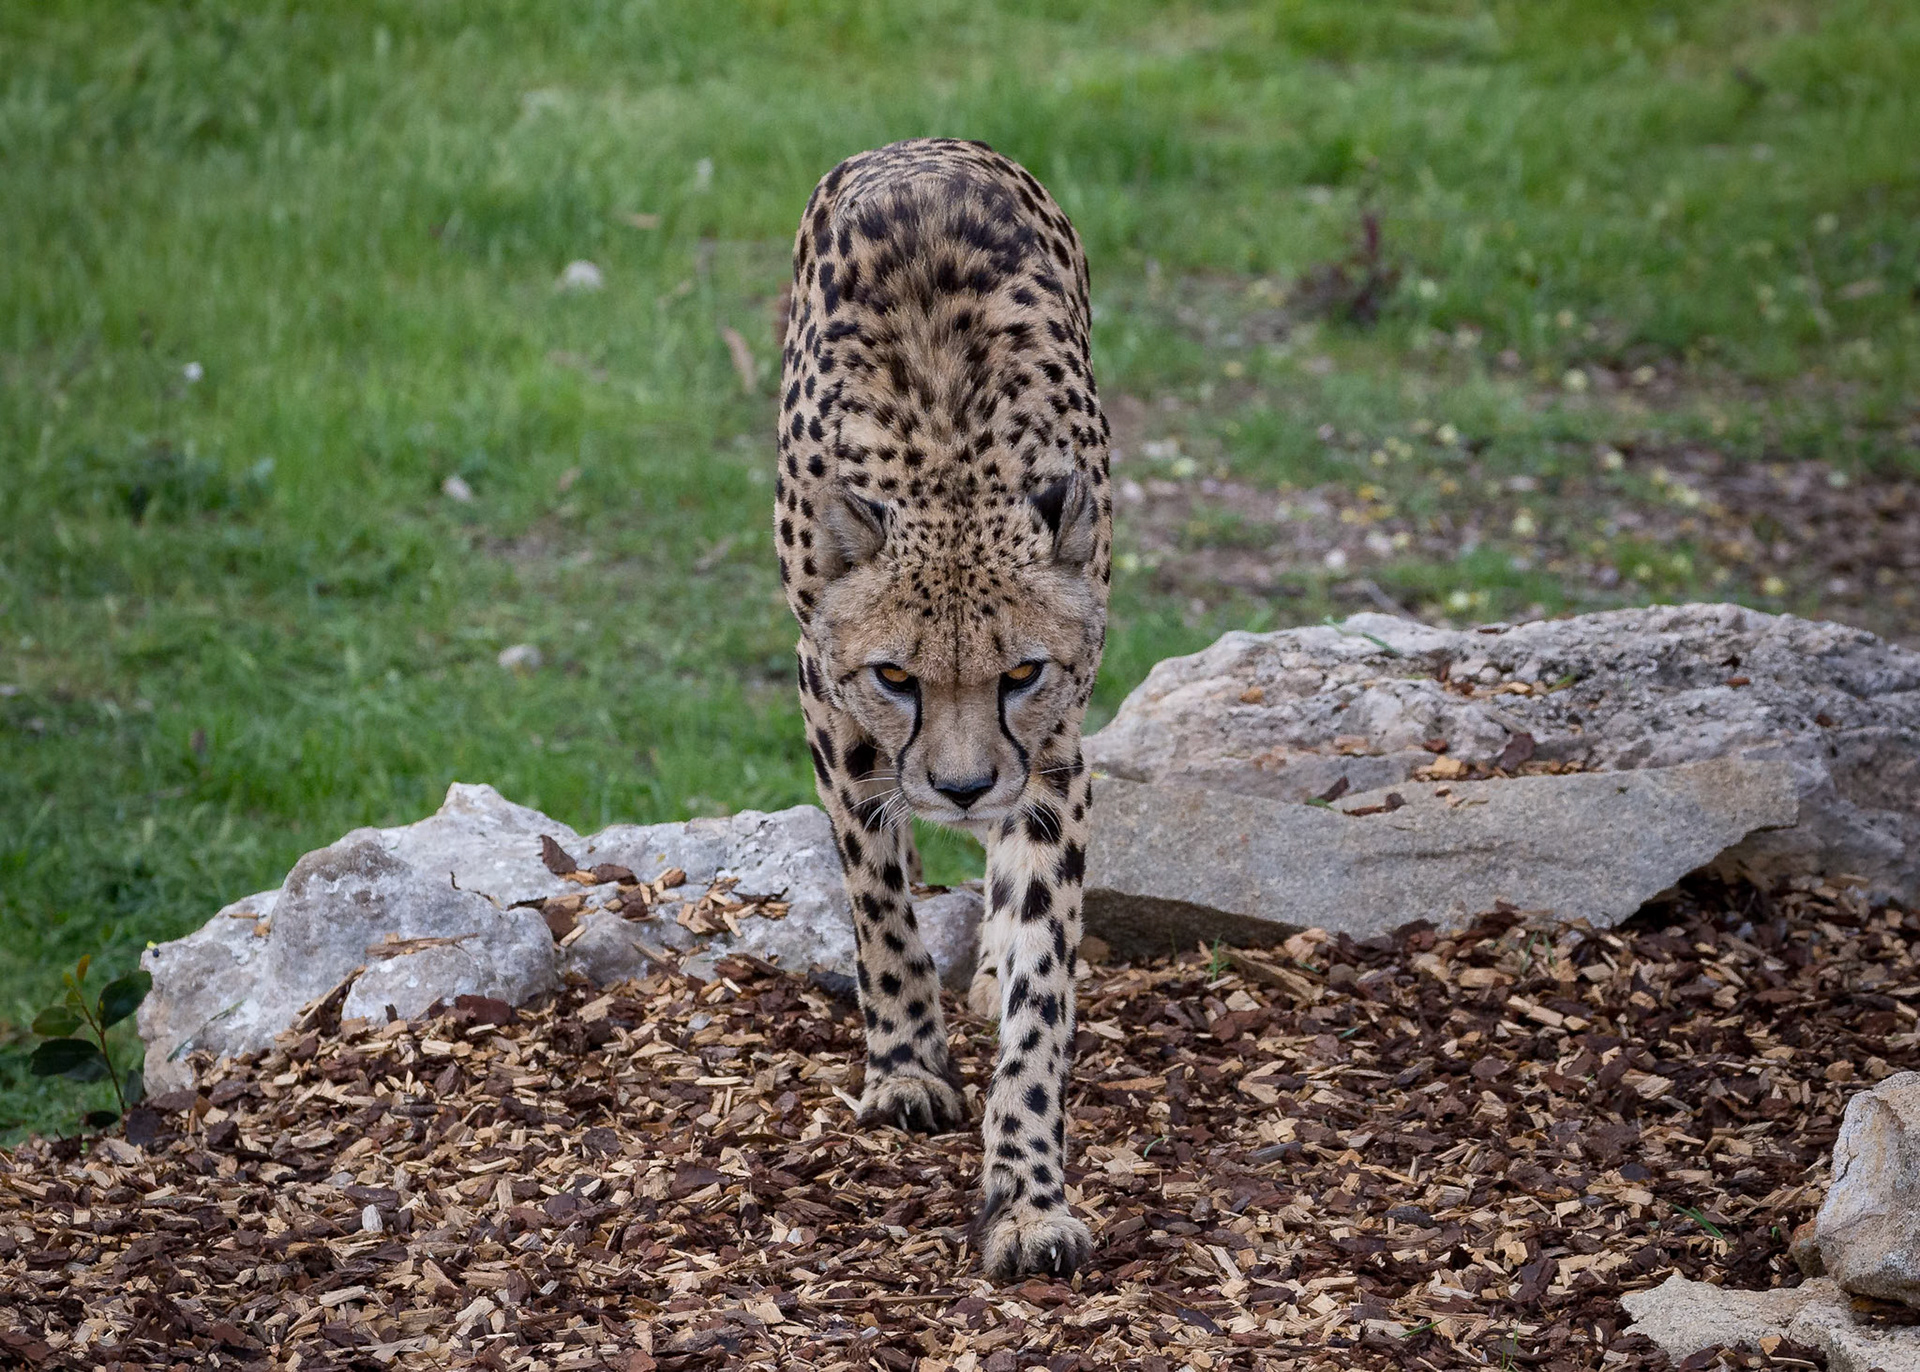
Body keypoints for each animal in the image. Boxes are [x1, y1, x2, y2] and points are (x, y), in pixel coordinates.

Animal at [772, 138, 1113, 1280]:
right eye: (897, 678)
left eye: (1021, 673)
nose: (963, 788)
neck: (953, 465)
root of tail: (921, 146)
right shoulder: (829, 697)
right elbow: (876, 894)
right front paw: (909, 1065)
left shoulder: (1053, 756)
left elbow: (1043, 990)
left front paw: (1028, 1193)